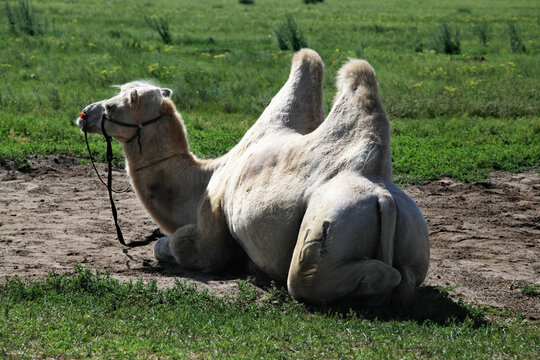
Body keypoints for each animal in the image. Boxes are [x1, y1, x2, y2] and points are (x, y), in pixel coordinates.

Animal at [77, 49, 430, 306]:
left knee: (314, 278)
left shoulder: (211, 236)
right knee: (408, 277)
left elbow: (172, 243)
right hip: (415, 233)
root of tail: (382, 196)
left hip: (332, 224)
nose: (84, 114)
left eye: (116, 105)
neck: (203, 180)